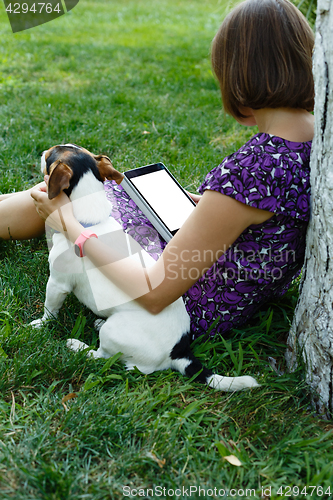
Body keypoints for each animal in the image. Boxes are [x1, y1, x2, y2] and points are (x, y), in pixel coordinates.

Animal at [31, 146, 258, 392]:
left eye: (49, 156)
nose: (42, 151)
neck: (90, 221)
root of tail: (179, 352)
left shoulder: (57, 284)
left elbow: (50, 310)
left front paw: (40, 325)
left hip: (114, 332)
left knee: (105, 357)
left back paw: (78, 345)